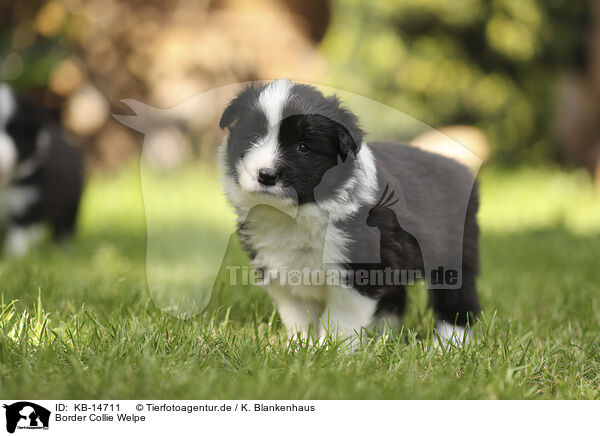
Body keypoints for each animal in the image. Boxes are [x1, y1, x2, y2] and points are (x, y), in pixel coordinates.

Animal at [0, 83, 82, 258]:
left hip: (71, 200)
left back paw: (63, 246)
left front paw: (17, 257)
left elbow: (20, 235)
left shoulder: (30, 201)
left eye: (14, 132)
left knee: (65, 224)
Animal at [218, 80, 480, 346]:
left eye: (303, 147)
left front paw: (330, 349)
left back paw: (448, 343)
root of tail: (460, 168)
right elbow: (297, 314)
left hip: (453, 253)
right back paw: (383, 335)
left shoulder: (356, 269)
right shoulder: (282, 270)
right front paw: (299, 346)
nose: (266, 175)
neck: (295, 214)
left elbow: (340, 319)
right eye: (253, 137)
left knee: (457, 298)